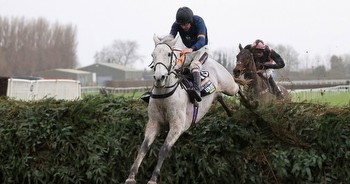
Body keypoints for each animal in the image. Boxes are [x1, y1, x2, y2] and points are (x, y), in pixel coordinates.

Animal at [124, 34, 239, 184]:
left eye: (168, 54)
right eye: (153, 55)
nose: (159, 78)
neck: (164, 94)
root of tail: (214, 62)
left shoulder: (177, 126)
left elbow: (164, 150)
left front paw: (153, 178)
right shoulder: (153, 123)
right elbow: (143, 148)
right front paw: (131, 176)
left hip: (229, 86)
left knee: (238, 86)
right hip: (219, 92)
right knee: (219, 95)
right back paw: (230, 111)